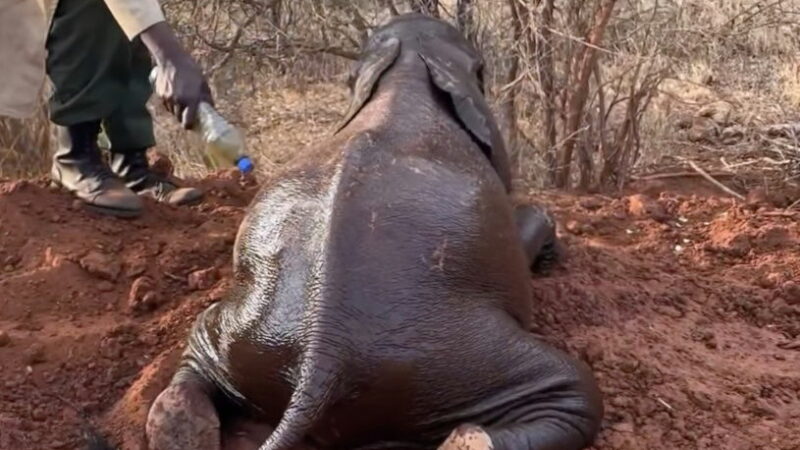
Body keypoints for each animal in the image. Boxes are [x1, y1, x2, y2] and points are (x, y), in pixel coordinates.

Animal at [147, 14, 604, 450]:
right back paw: (470, 439)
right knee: (574, 392)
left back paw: (176, 420)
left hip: (240, 331)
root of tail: (321, 356)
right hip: (451, 359)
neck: (407, 66)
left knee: (197, 347)